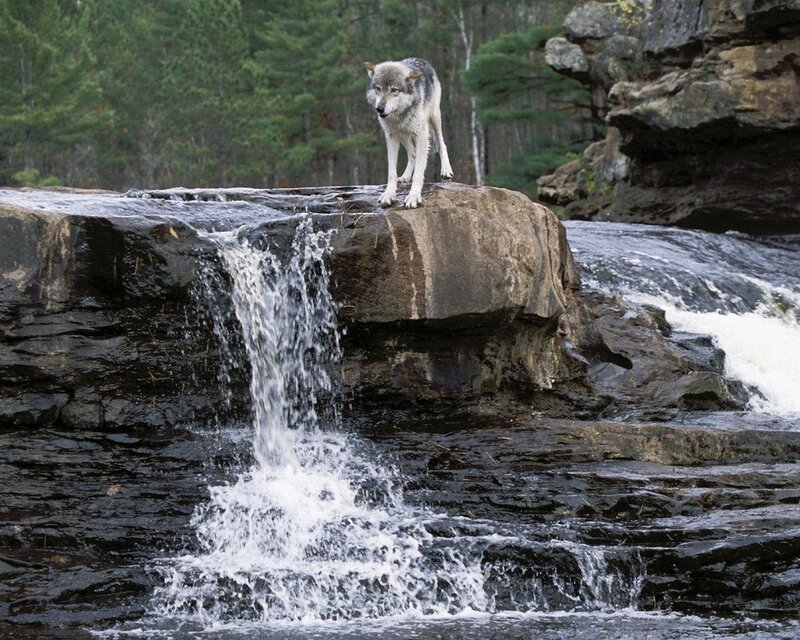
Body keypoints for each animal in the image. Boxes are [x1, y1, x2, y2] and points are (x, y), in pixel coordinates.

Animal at [364, 58, 454, 208]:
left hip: (434, 118)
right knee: (412, 154)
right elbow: (391, 172)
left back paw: (446, 170)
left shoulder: (422, 136)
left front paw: (414, 196)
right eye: (378, 88)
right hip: (404, 135)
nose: (379, 108)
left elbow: (419, 173)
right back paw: (405, 176)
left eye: (394, 90)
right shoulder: (391, 136)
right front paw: (389, 194)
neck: (399, 114)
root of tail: (422, 60)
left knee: (442, 144)